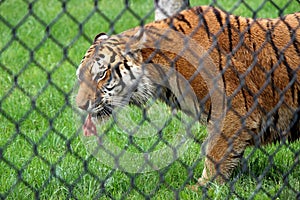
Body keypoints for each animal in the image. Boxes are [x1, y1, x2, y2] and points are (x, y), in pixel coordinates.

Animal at [75, 5, 300, 187]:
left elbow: (216, 154)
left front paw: (203, 187)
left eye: (101, 74)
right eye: (80, 76)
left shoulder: (232, 112)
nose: (80, 105)